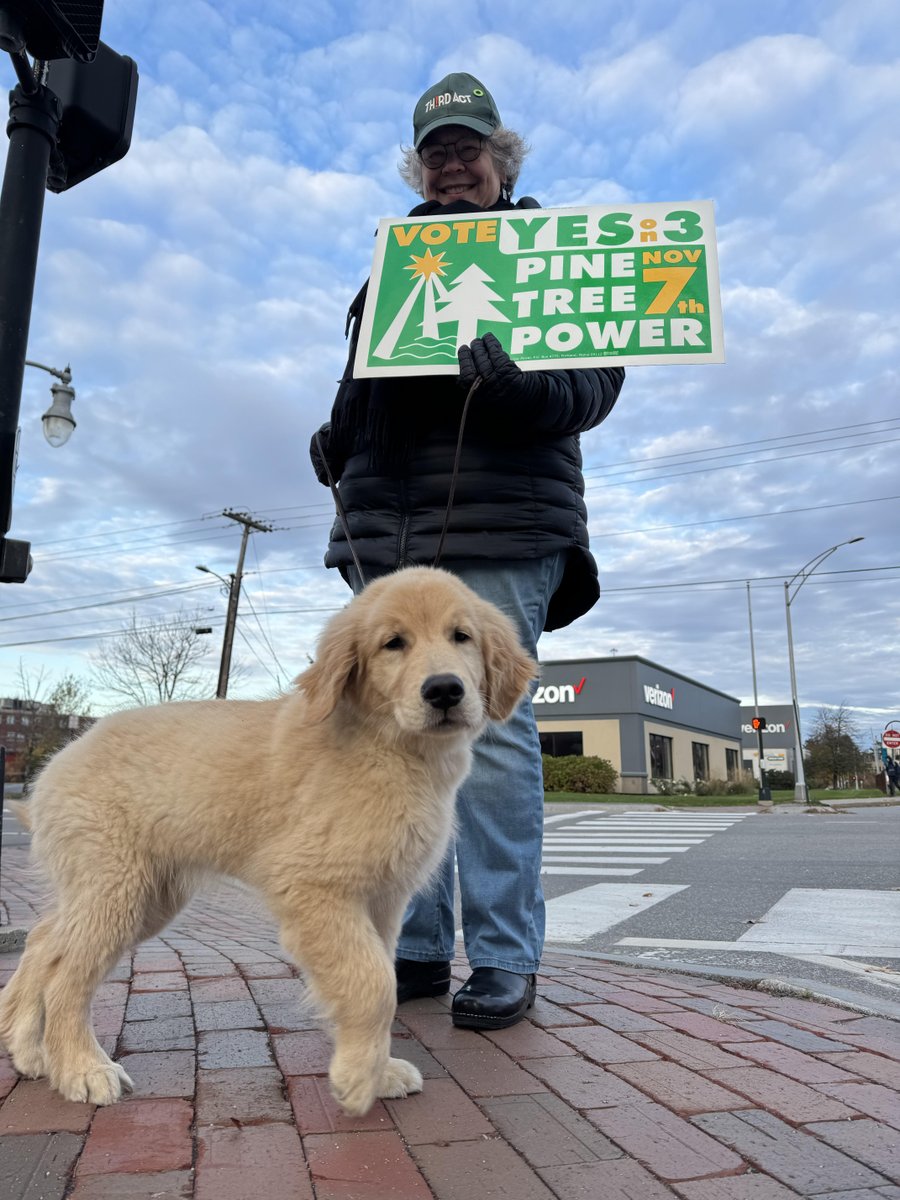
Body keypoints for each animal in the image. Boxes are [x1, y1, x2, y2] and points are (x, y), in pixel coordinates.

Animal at [0, 571, 535, 1113]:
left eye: (461, 637)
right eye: (393, 643)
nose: (444, 690)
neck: (392, 748)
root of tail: (52, 768)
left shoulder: (382, 899)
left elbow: (378, 973)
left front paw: (378, 1070)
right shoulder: (313, 886)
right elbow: (373, 983)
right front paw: (357, 1078)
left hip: (144, 895)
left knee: (45, 943)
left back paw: (29, 1050)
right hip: (116, 889)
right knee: (65, 977)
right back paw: (82, 1070)